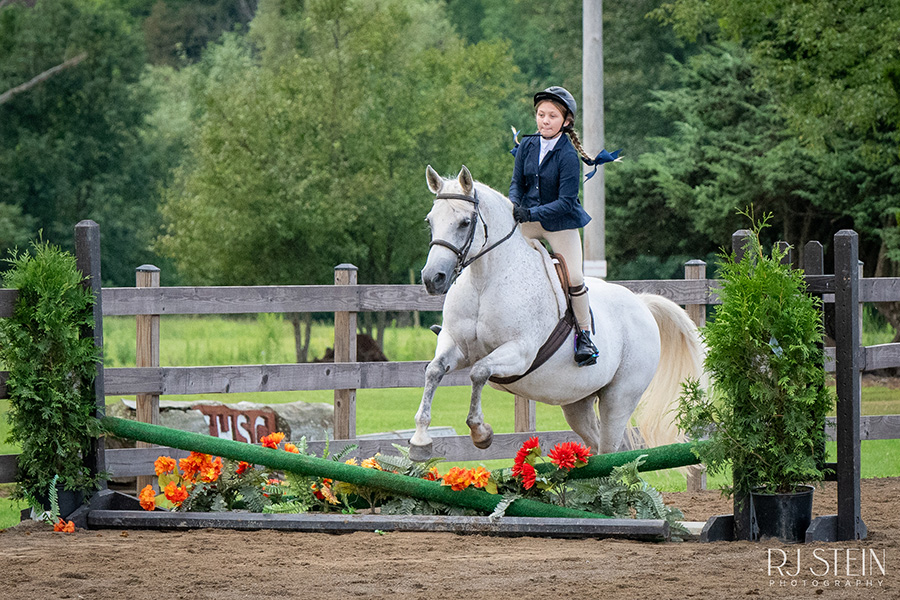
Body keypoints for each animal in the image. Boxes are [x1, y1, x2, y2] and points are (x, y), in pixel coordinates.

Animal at [412, 166, 708, 462]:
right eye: (430, 221)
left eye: (464, 223)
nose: (433, 279)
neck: (483, 282)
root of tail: (641, 303)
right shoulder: (456, 345)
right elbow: (434, 371)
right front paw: (420, 442)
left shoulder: (520, 352)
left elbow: (479, 372)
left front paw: (480, 432)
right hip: (577, 401)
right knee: (596, 446)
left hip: (619, 398)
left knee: (611, 447)